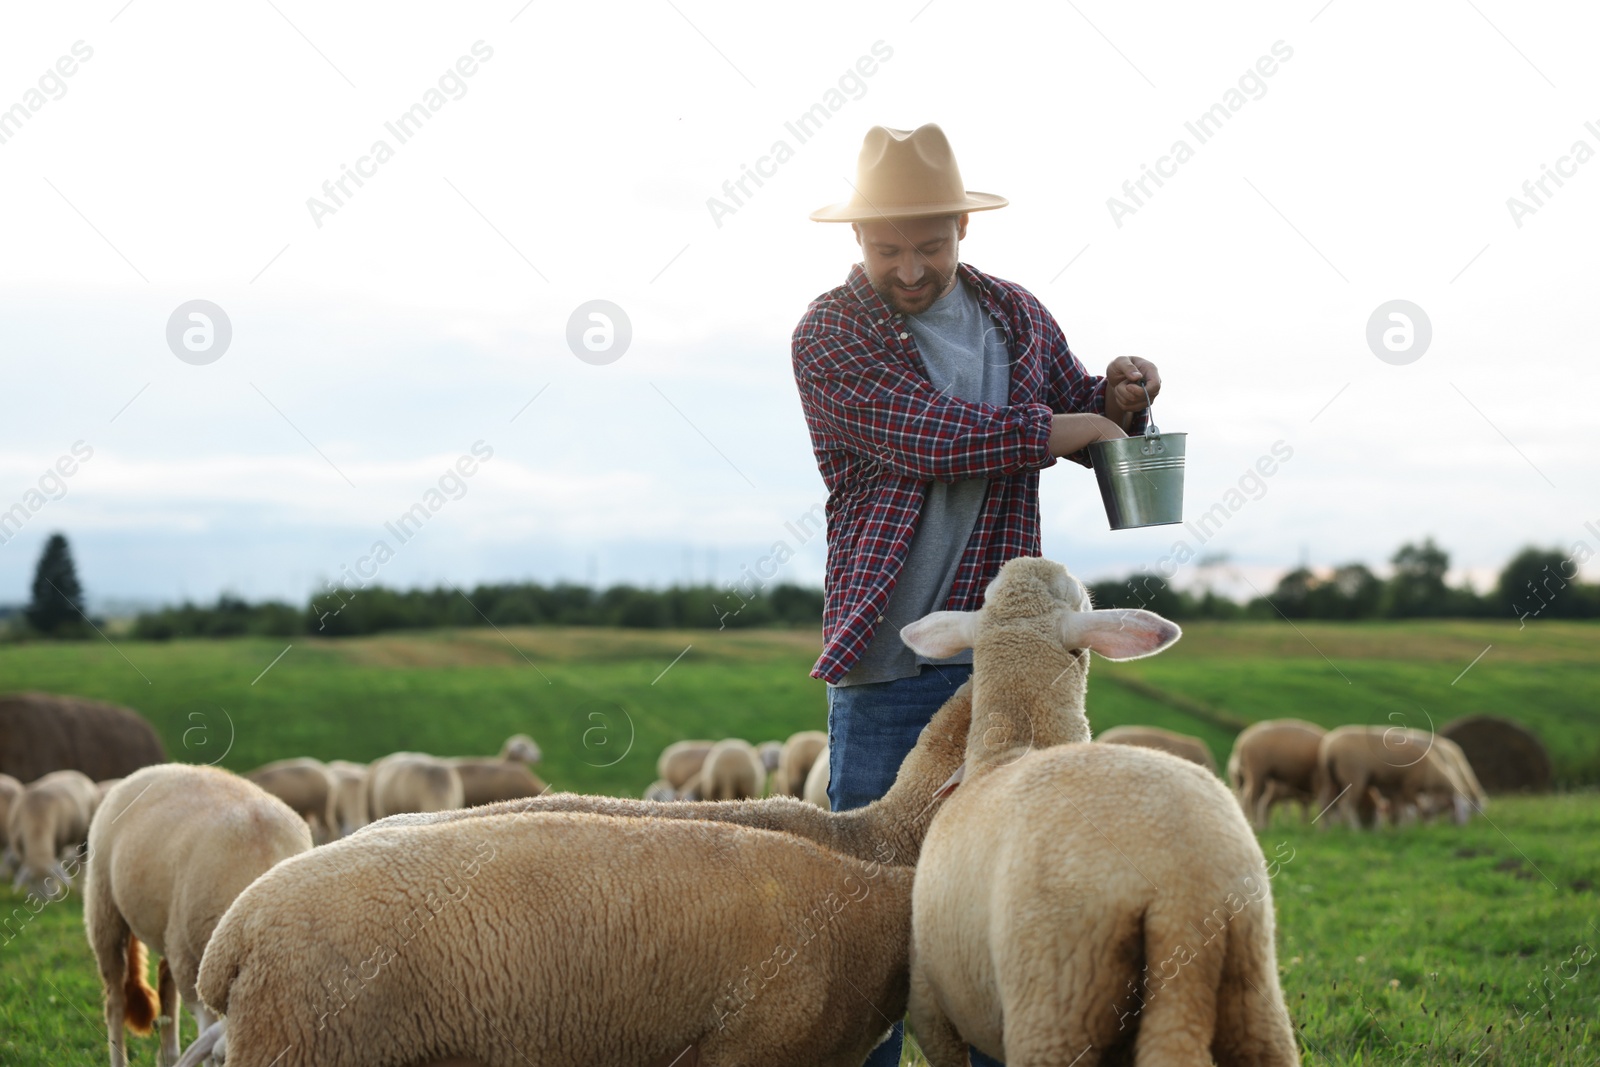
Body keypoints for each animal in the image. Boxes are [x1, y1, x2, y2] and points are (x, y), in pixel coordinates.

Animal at [8, 767, 97, 895]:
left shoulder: (58, 843)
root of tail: (75, 772)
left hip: (84, 834)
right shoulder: (20, 849)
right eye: (32, 880)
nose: (42, 898)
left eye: (48, 879)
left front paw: (57, 889)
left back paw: (80, 889)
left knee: (83, 860)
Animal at [85, 764, 312, 1067]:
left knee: (164, 976)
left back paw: (168, 1055)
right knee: (116, 1000)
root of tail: (155, 768)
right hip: (105, 908)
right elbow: (205, 1024)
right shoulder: (190, 962)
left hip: (166, 926)